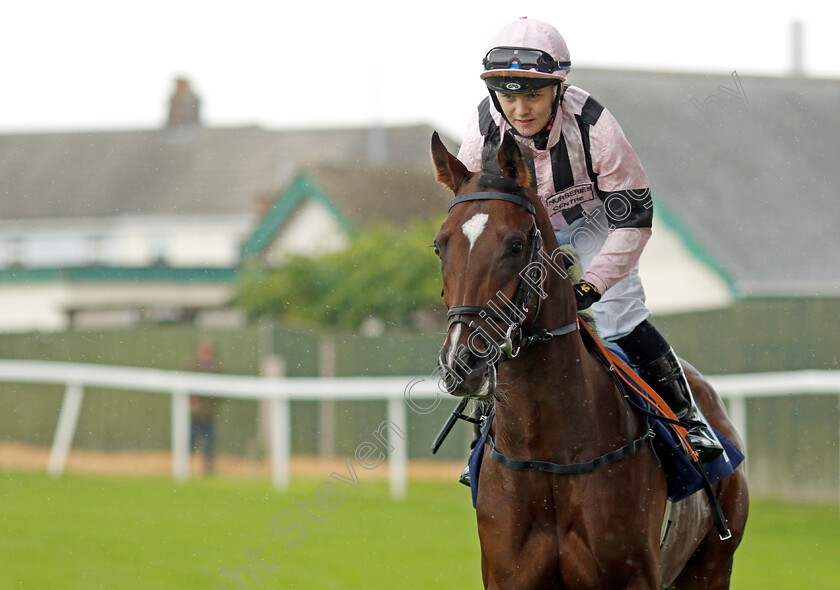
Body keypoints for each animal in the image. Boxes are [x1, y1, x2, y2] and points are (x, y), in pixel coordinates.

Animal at [434, 131, 748, 590]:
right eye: (440, 245)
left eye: (515, 245)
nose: (463, 363)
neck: (548, 455)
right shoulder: (506, 576)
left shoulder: (633, 575)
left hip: (713, 564)